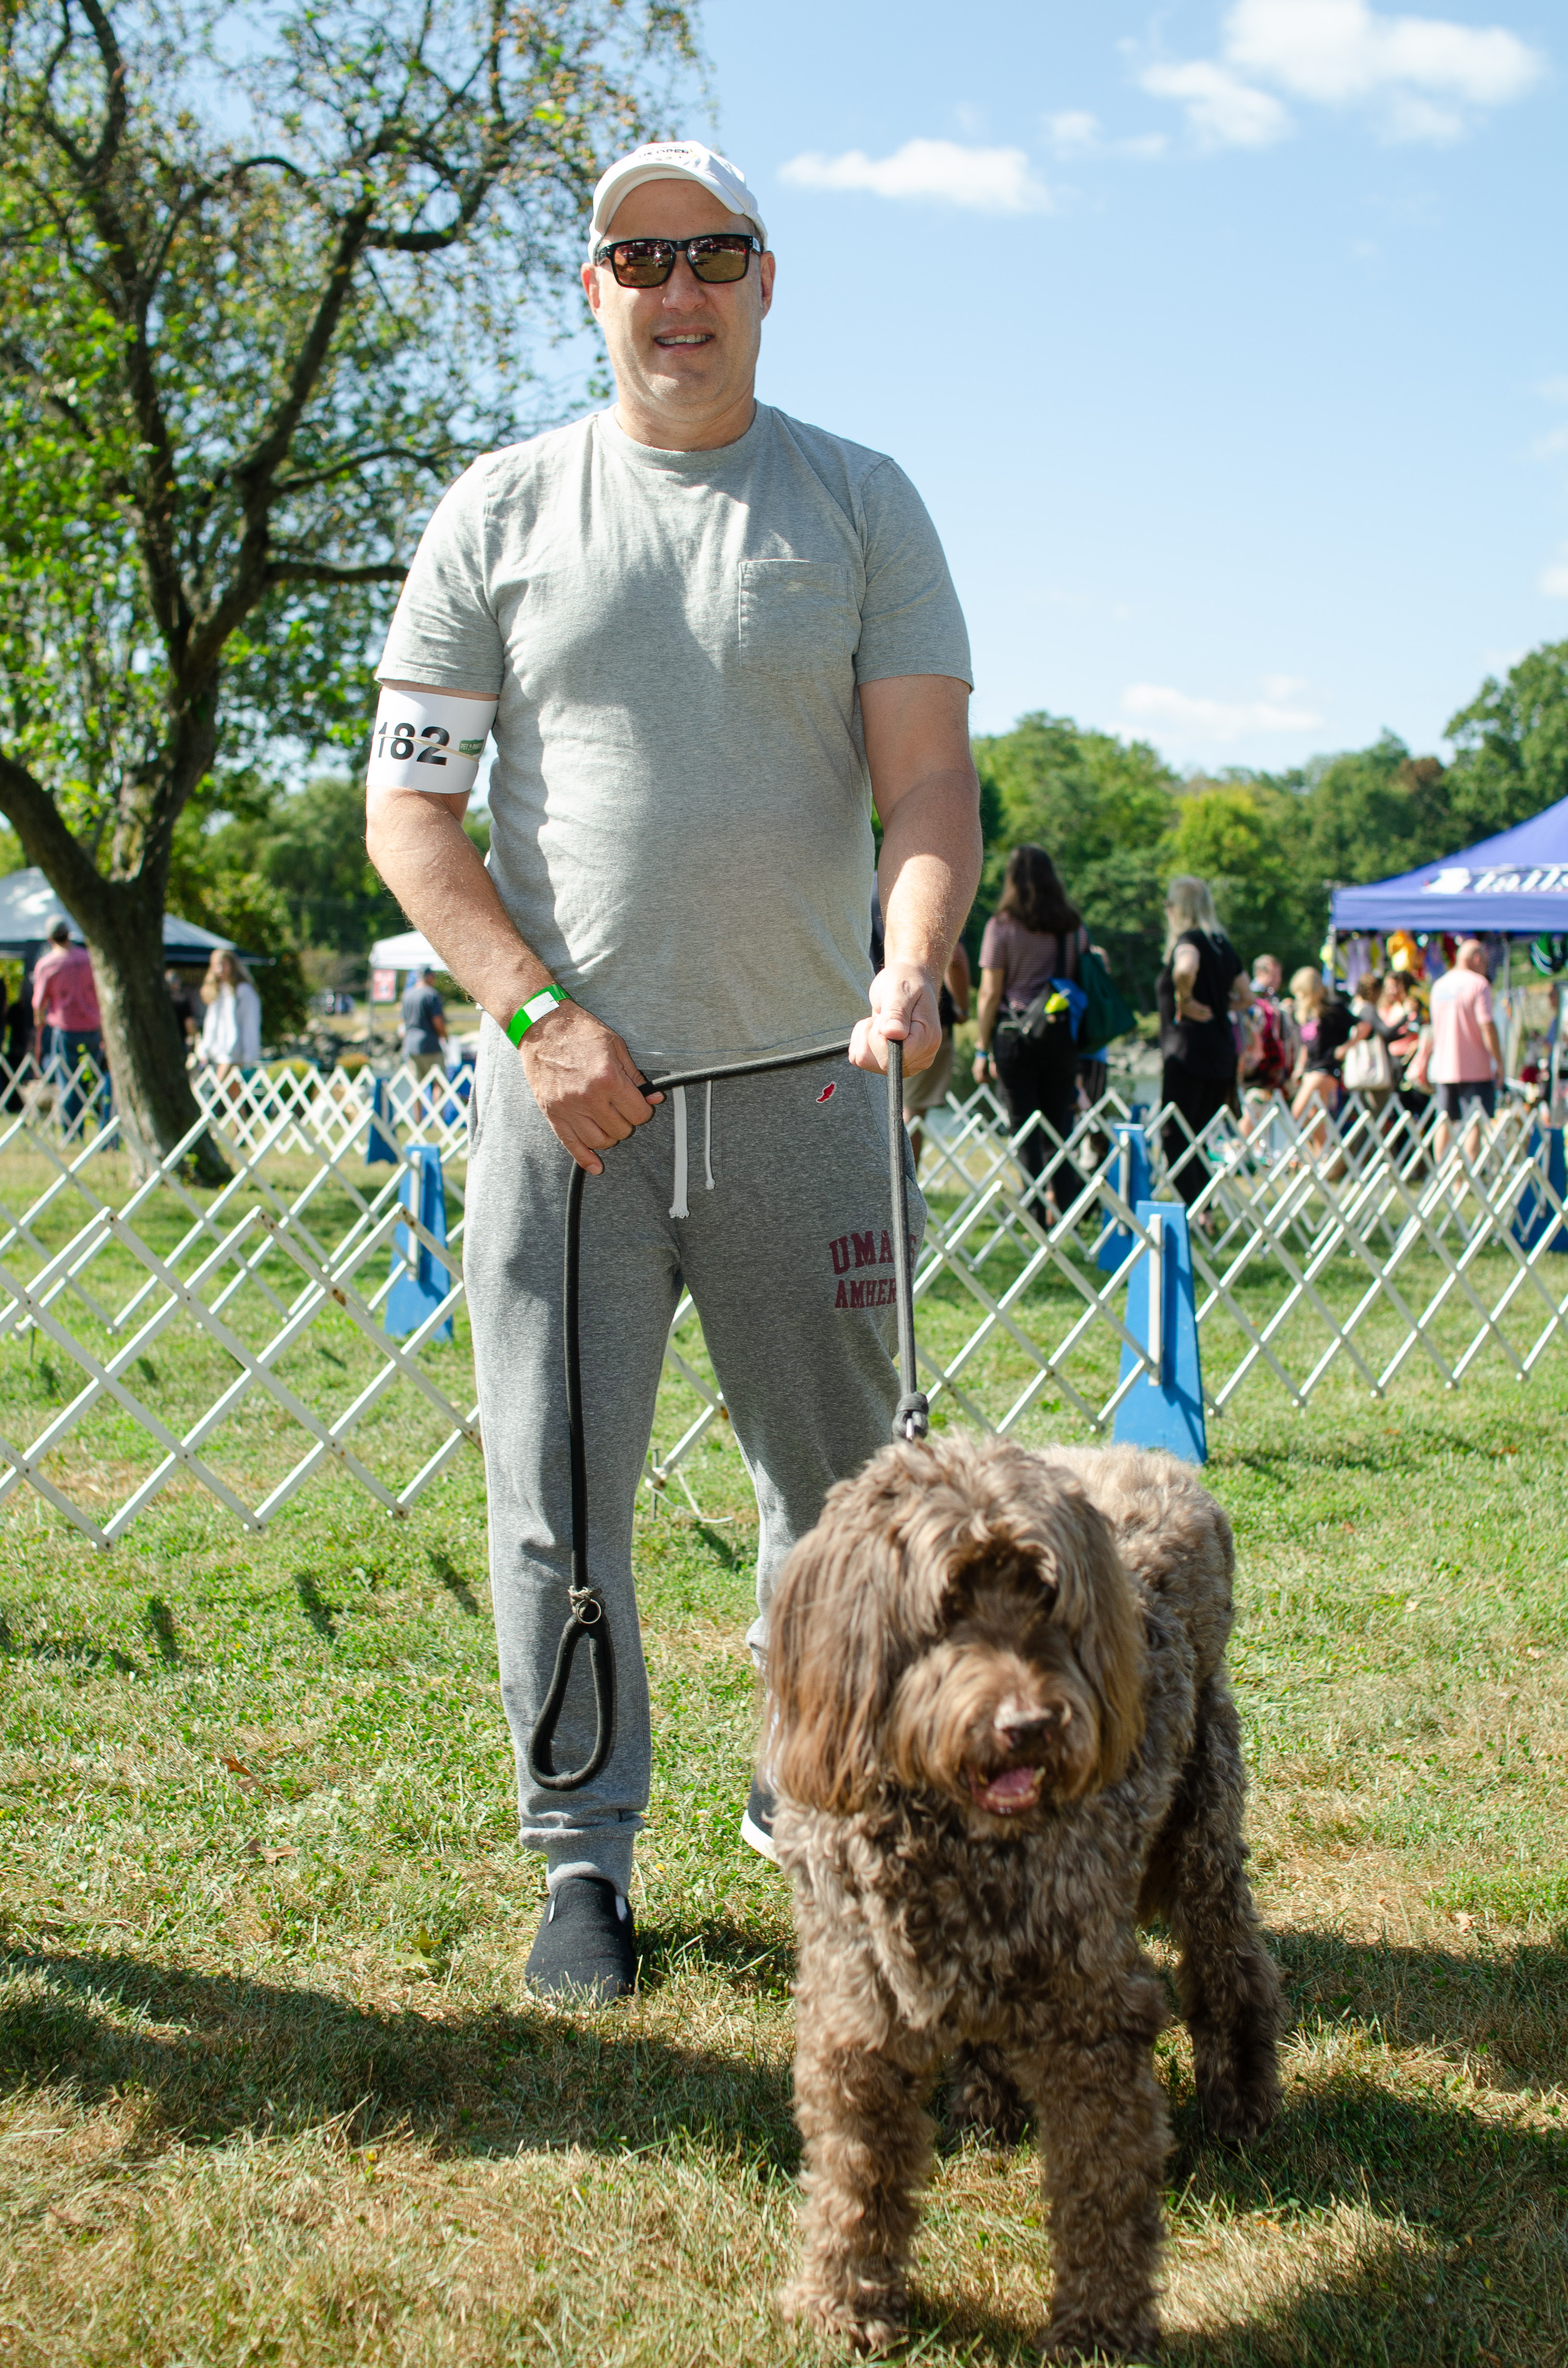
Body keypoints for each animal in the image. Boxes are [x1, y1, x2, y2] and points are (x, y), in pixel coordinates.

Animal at [766, 1434, 1280, 2362]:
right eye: (948, 1605)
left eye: (1045, 1594)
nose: (1030, 1726)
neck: (955, 1839)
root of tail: (1155, 1460)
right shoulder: (856, 2011)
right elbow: (856, 2174)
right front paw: (842, 2302)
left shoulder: (1091, 2015)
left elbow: (1101, 2188)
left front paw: (1101, 2327)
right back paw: (987, 2101)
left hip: (1202, 1834)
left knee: (1234, 1968)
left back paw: (1242, 2100)